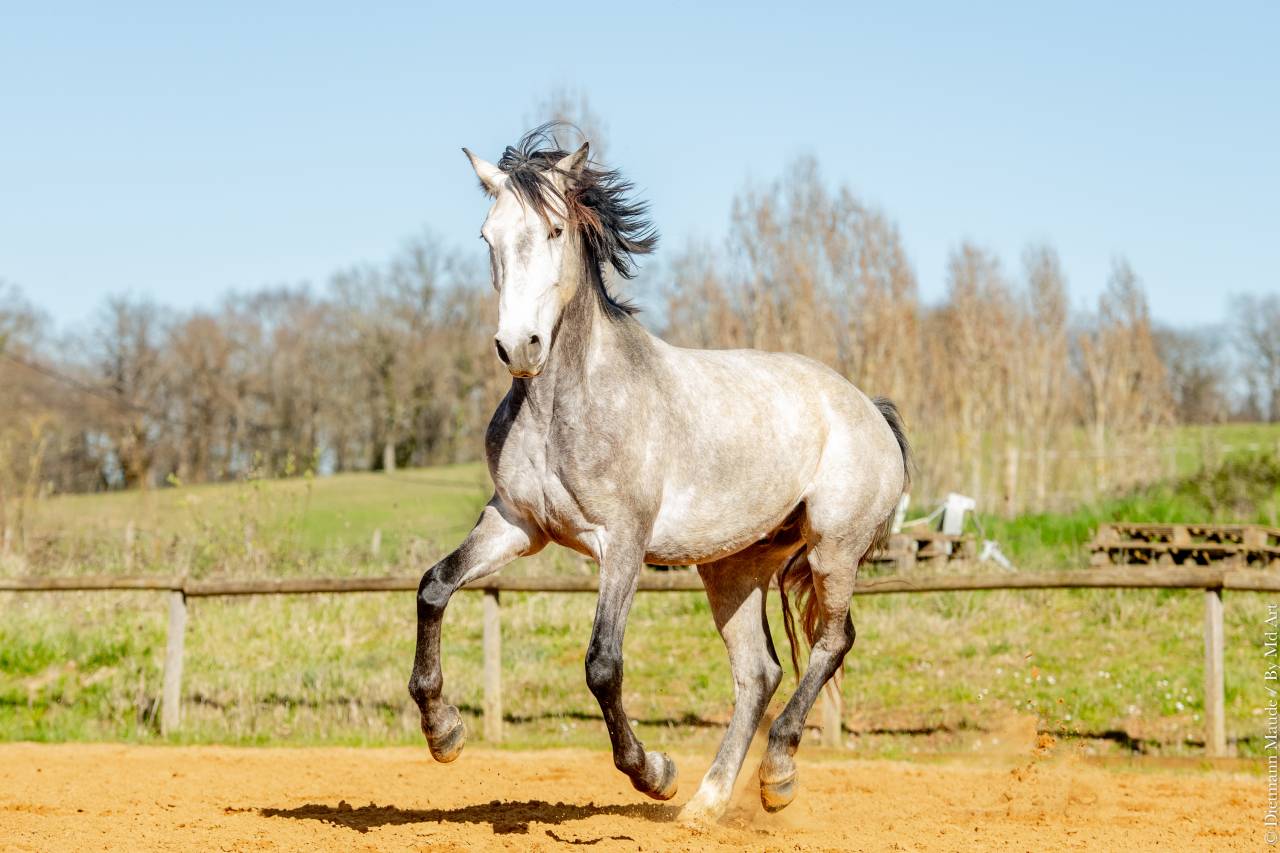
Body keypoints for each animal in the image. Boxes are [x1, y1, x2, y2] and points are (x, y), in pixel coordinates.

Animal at [408, 125, 910, 823]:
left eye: (555, 231)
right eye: (488, 235)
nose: (519, 347)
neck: (563, 406)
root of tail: (869, 408)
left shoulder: (623, 540)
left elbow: (602, 664)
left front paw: (654, 772)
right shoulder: (517, 524)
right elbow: (434, 587)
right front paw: (444, 733)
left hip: (835, 548)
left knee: (833, 643)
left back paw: (775, 776)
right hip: (733, 566)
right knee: (759, 672)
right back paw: (706, 805)